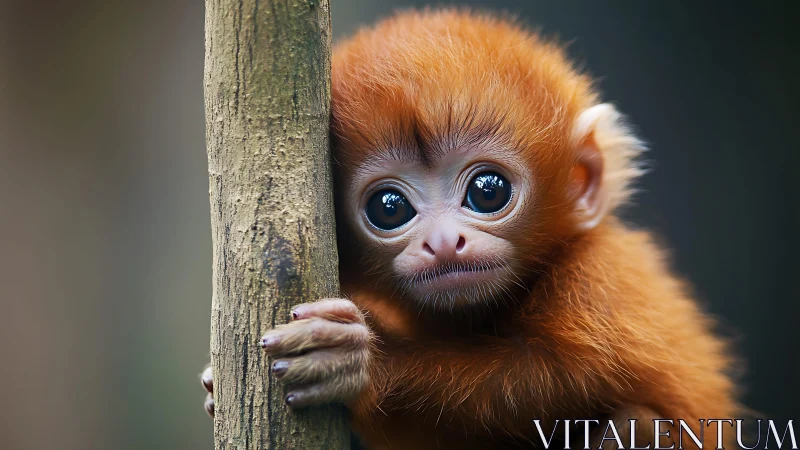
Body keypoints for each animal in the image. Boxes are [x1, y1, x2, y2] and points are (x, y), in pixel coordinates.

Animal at [201, 9, 739, 450]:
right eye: (389, 208)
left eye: (488, 191)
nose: (443, 243)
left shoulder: (600, 282)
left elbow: (559, 377)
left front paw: (364, 364)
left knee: (637, 426)